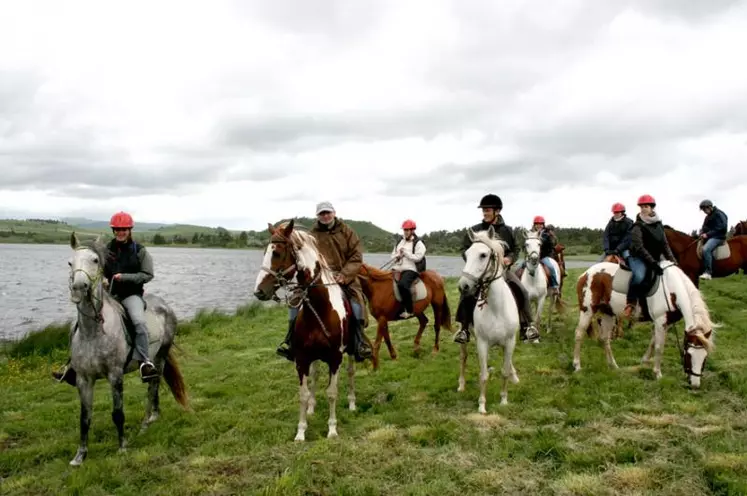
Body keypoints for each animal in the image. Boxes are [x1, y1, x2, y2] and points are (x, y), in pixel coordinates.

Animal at [66, 232, 190, 464]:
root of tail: (165, 305)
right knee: (154, 383)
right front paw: (80, 455)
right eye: (70, 262)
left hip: (159, 357)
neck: (93, 331)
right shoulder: (83, 379)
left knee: (153, 385)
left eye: (95, 260)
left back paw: (146, 422)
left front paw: (122, 447)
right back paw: (153, 417)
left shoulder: (115, 375)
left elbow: (118, 413)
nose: (78, 288)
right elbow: (84, 418)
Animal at [254, 221, 374, 442]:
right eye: (265, 251)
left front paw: (332, 430)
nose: (259, 291)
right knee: (316, 375)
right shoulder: (302, 358)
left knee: (351, 372)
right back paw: (311, 407)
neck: (320, 307)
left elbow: (332, 393)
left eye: (276, 253)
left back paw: (352, 402)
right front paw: (301, 431)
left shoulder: (335, 358)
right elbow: (303, 393)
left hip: (350, 352)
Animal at [456, 227, 520, 412]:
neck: (496, 308)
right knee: (463, 358)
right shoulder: (482, 343)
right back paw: (461, 385)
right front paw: (482, 405)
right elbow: (483, 375)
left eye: (483, 255)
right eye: (466, 255)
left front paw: (504, 400)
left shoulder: (510, 342)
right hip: (465, 338)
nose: (463, 286)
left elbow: (504, 371)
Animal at [576, 260, 716, 388]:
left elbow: (653, 342)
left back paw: (613, 366)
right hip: (587, 311)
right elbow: (659, 347)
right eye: (689, 355)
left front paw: (644, 361)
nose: (695, 385)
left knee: (605, 339)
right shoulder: (660, 321)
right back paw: (577, 366)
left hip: (608, 314)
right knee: (579, 334)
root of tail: (585, 274)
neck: (671, 289)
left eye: (705, 357)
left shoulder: (665, 323)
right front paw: (658, 374)